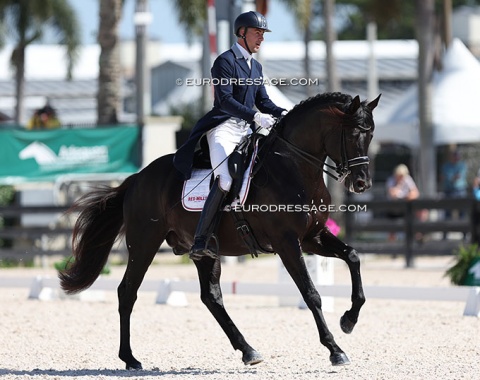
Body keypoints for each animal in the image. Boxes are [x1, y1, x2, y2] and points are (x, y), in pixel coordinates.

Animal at [60, 93, 380, 372]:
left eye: (371, 135)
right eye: (353, 134)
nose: (362, 184)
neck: (294, 170)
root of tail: (138, 177)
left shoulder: (312, 237)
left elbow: (353, 256)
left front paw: (349, 320)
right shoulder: (287, 242)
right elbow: (311, 293)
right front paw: (335, 350)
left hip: (203, 250)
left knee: (211, 297)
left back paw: (248, 350)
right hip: (143, 244)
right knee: (127, 292)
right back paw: (130, 358)